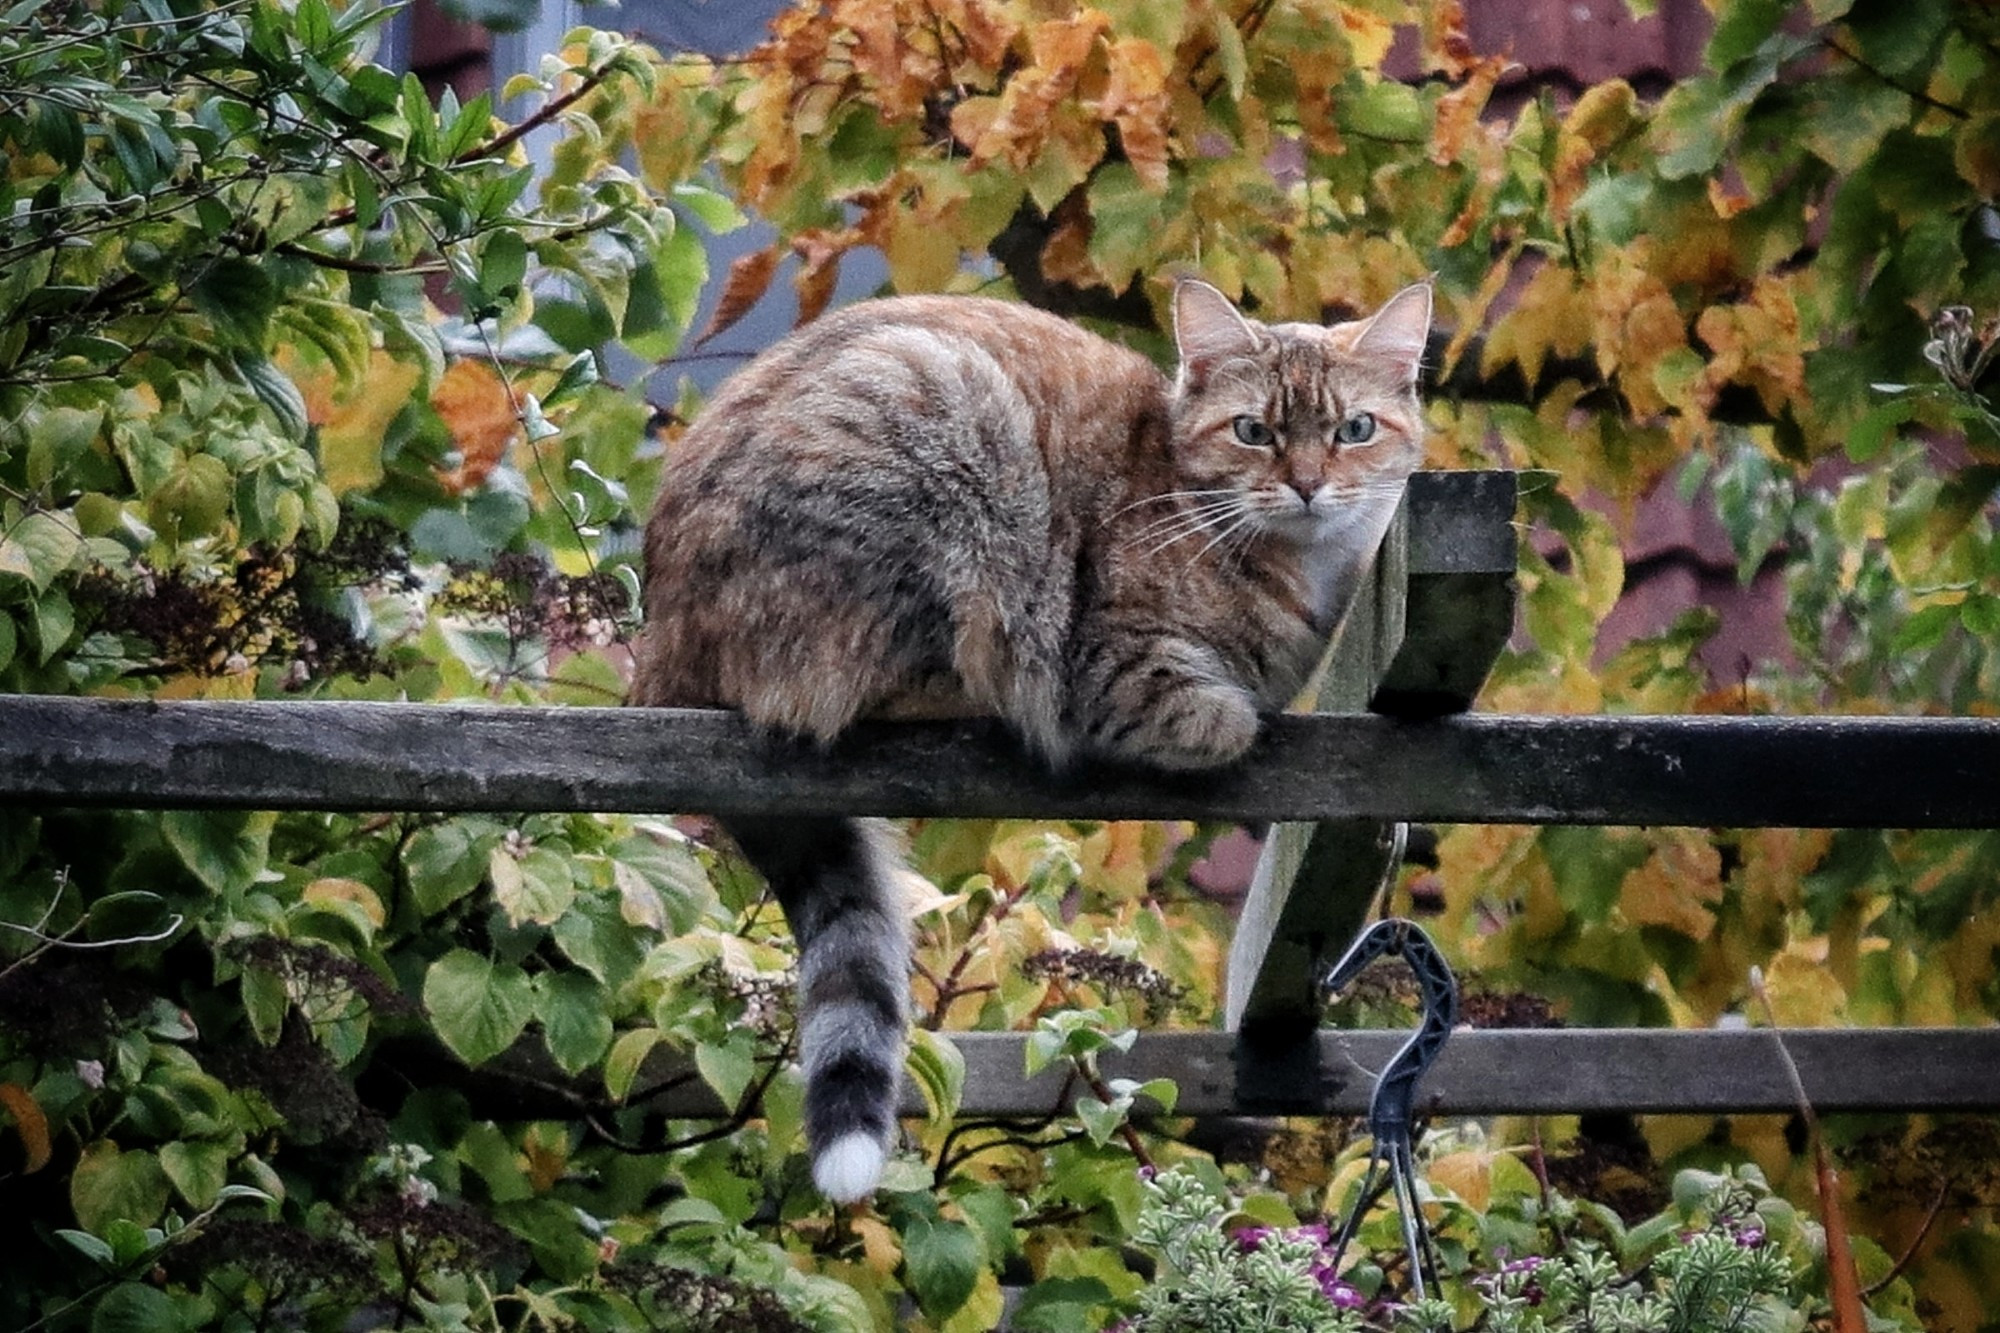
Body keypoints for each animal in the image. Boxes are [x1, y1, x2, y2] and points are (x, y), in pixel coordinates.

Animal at [632, 278, 1432, 1192]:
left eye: (1354, 430)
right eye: (1253, 431)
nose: (1305, 484)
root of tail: (662, 643)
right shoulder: (1113, 667)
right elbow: (1221, 717)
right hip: (942, 444)